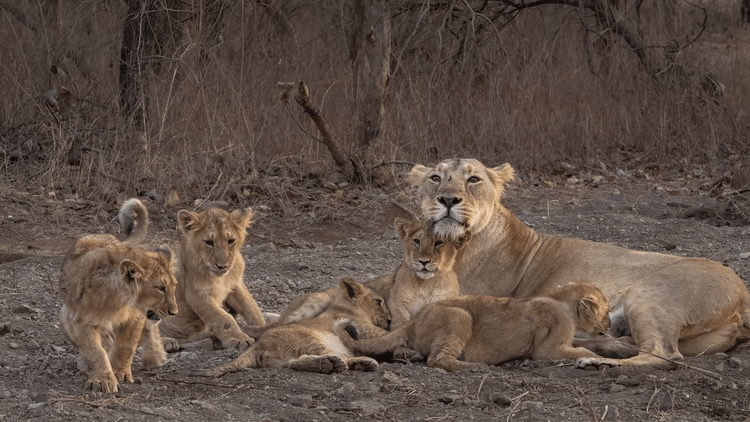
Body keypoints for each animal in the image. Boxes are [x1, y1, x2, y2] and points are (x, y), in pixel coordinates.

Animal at [59, 198, 178, 393]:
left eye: (174, 286)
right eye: (160, 288)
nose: (174, 312)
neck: (117, 301)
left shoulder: (135, 317)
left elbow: (126, 346)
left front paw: (119, 372)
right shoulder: (81, 320)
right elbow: (94, 351)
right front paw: (102, 380)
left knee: (149, 330)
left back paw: (157, 353)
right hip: (64, 315)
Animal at [189, 277, 391, 377]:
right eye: (378, 302)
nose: (389, 319)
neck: (344, 306)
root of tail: (258, 345)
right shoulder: (365, 330)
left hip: (284, 358)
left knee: (295, 363)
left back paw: (341, 365)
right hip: (308, 339)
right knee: (333, 357)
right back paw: (353, 363)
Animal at [336, 282, 610, 371]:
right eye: (607, 310)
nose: (608, 326)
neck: (565, 303)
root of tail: (414, 319)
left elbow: (585, 345)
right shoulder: (547, 350)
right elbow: (582, 350)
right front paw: (593, 358)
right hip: (459, 316)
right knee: (438, 360)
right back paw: (475, 367)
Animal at [407, 158, 750, 369]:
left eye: (474, 179)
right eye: (435, 178)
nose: (447, 199)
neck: (455, 246)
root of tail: (743, 295)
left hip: (649, 293)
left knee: (665, 355)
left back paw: (599, 363)